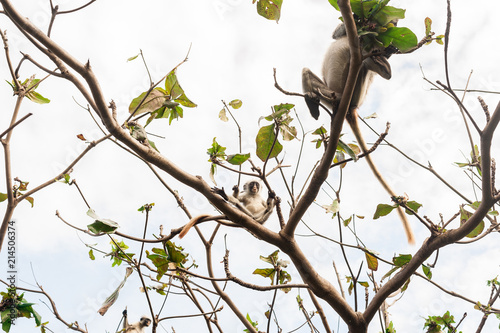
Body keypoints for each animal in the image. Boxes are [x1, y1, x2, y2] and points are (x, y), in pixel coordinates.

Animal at [302, 21, 416, 244]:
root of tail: (349, 108)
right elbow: (337, 34)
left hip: (356, 91)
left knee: (365, 65)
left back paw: (378, 66)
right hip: (330, 94)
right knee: (306, 72)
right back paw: (313, 102)